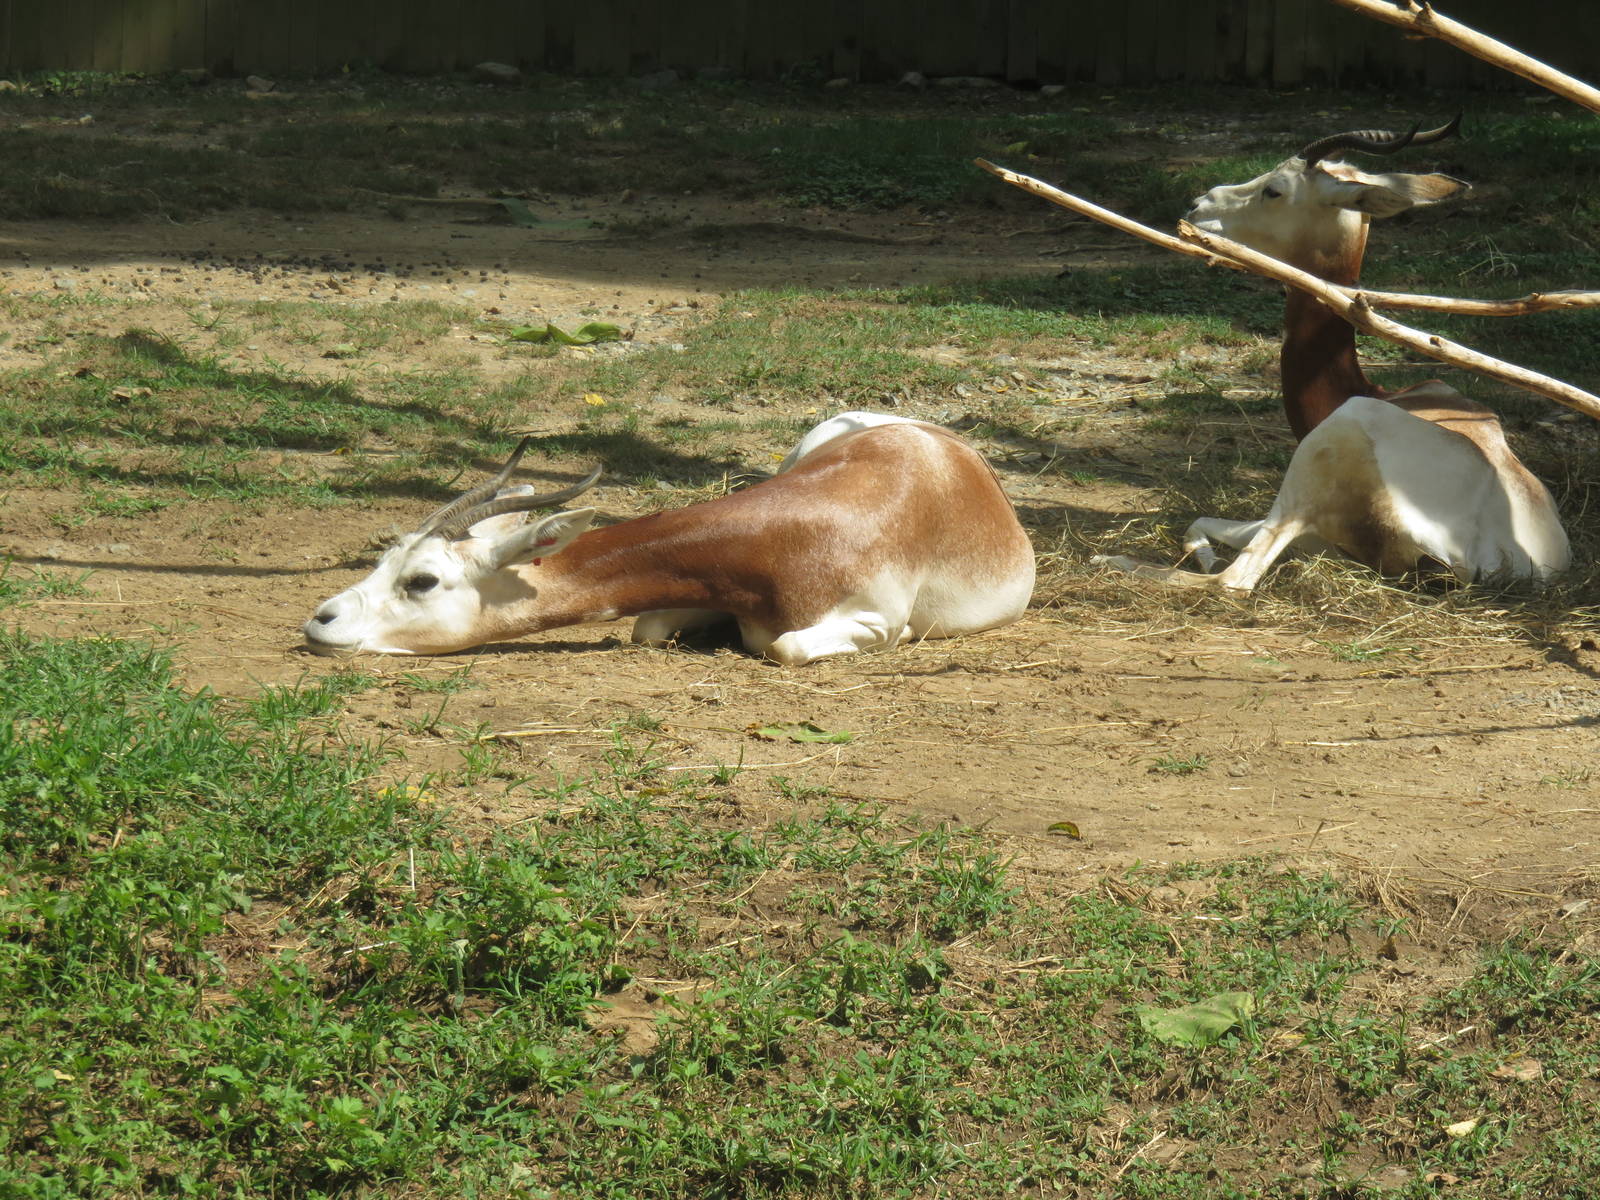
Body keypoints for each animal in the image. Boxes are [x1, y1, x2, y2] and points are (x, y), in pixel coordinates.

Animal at [302, 412, 1036, 664]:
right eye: (384, 558)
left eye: (422, 580)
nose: (320, 620)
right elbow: (648, 628)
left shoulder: (870, 620)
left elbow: (787, 649)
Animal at [1096, 119, 1569, 592]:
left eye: (1274, 189)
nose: (1197, 205)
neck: (1380, 392)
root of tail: (1480, 554)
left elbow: (1198, 524)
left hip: (1305, 482)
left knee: (1235, 580)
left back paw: (1113, 560)